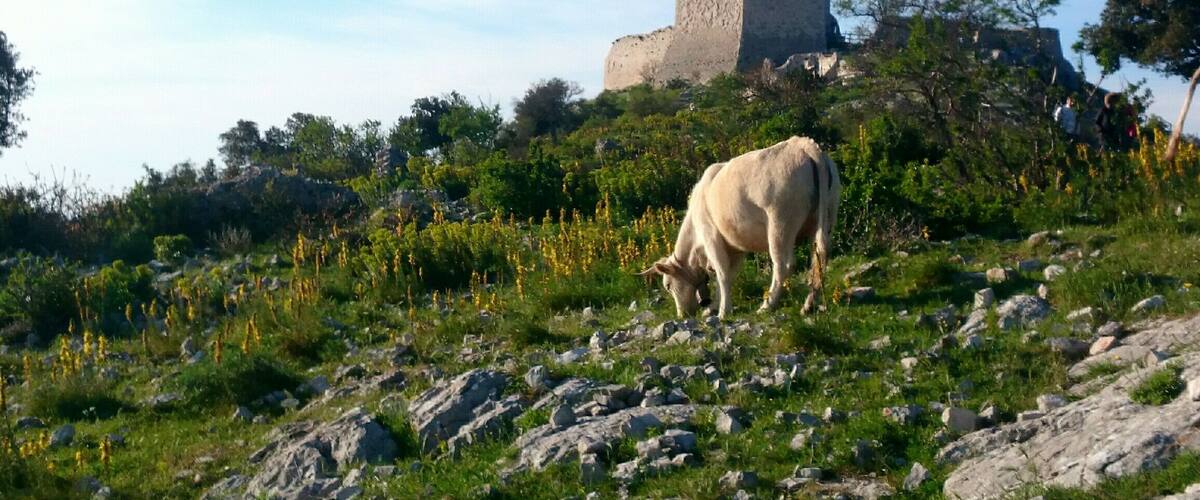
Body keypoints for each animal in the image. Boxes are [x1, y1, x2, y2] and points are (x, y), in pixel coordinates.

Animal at [640, 136, 841, 319]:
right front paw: (713, 306)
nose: (682, 315)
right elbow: (728, 274)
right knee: (819, 257)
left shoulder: (711, 237)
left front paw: (723, 311)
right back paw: (808, 305)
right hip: (826, 216)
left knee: (783, 264)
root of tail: (803, 144)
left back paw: (767, 305)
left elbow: (721, 273)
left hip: (780, 223)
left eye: (667, 285)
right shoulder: (735, 247)